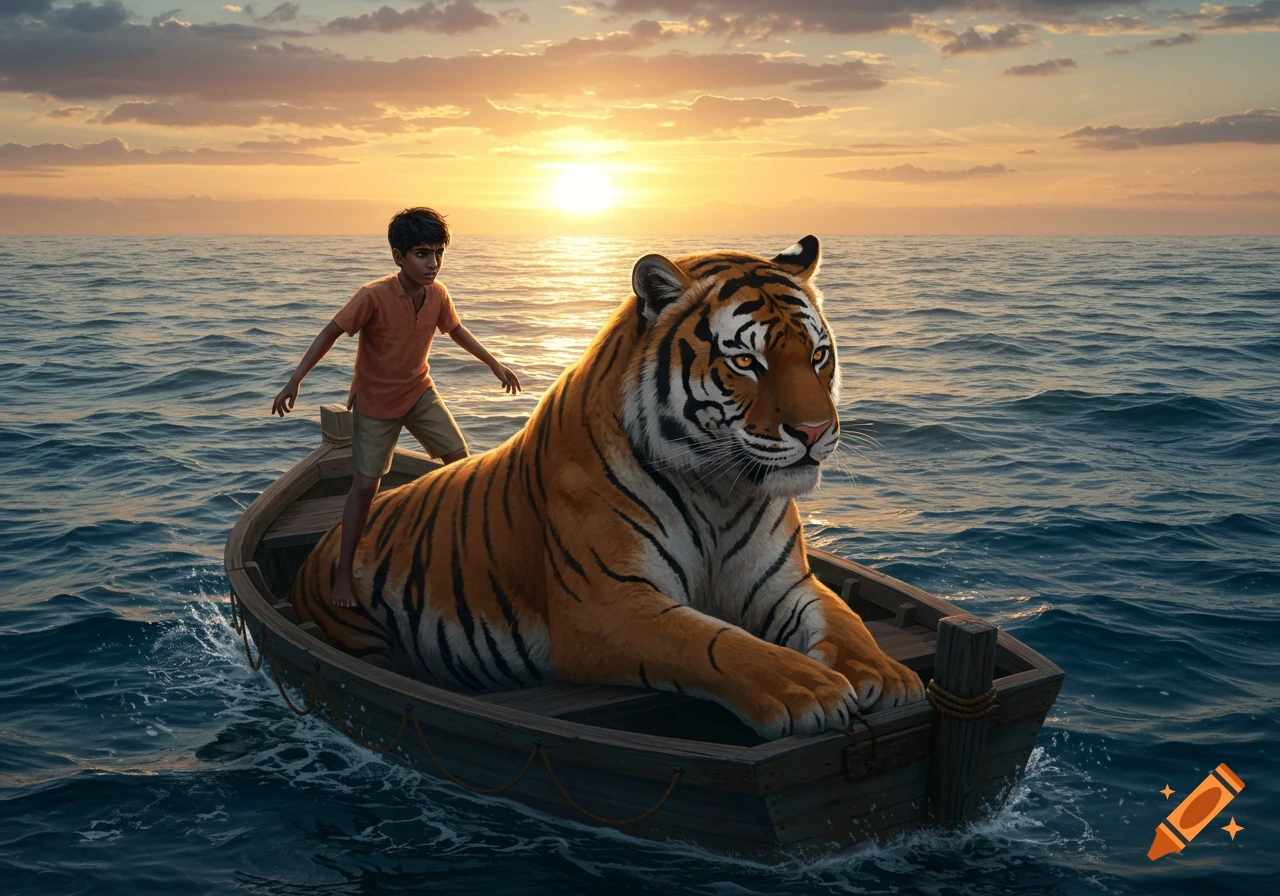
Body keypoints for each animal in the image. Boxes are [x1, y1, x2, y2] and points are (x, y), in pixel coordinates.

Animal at [291, 236, 926, 739]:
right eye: (746, 362)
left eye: (818, 355)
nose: (816, 432)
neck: (721, 491)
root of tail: (325, 542)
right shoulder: (606, 604)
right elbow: (716, 642)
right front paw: (809, 689)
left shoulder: (783, 582)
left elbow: (843, 619)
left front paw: (887, 677)